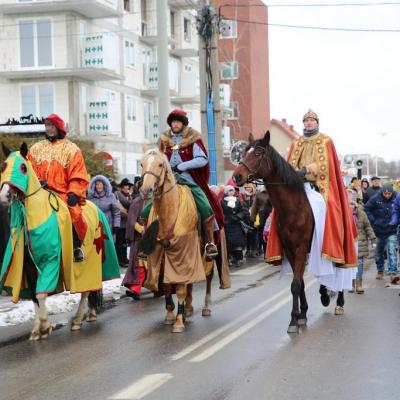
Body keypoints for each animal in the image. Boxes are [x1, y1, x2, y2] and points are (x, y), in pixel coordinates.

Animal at [0, 142, 119, 340]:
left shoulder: (50, 260)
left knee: (85, 291)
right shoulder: (29, 267)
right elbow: (35, 296)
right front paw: (37, 330)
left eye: (23, 167)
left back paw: (78, 320)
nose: (4, 196)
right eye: (3, 166)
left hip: (88, 268)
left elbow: (41, 295)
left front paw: (45, 326)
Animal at [139, 148, 220, 332]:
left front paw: (178, 322)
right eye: (141, 163)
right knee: (189, 284)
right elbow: (168, 286)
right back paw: (188, 309)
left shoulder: (183, 252)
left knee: (208, 277)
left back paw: (205, 307)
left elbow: (181, 288)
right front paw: (171, 315)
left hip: (205, 255)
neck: (170, 212)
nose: (146, 189)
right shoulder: (160, 254)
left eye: (160, 164)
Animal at [231, 133, 346, 332]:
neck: (294, 208)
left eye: (258, 153)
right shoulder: (290, 249)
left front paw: (294, 320)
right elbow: (299, 283)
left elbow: (295, 284)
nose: (237, 176)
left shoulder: (301, 247)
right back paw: (325, 295)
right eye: (244, 152)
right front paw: (302, 315)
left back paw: (338, 301)